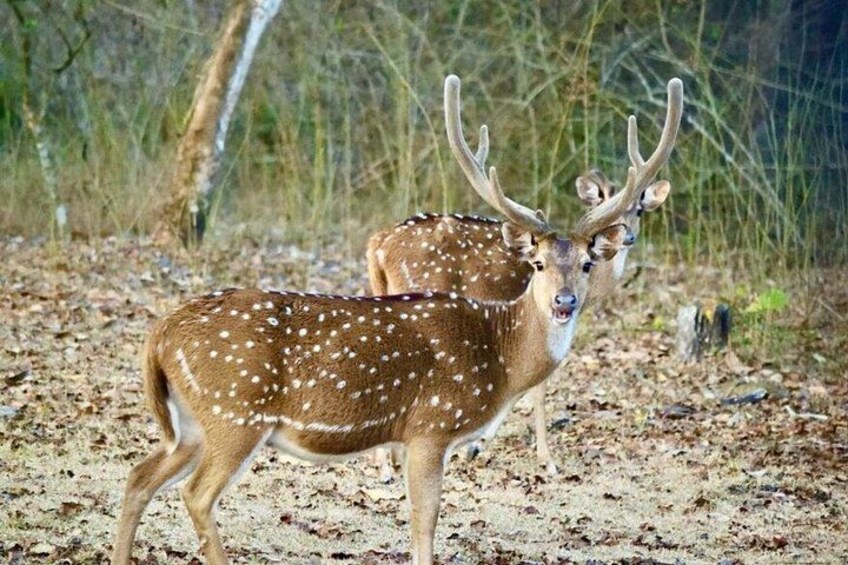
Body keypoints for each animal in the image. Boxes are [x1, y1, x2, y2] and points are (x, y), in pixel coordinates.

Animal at [366, 87, 676, 478]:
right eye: (538, 264)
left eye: (639, 210)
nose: (627, 237)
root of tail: (378, 244)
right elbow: (538, 386)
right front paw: (545, 459)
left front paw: (478, 445)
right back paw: (387, 466)